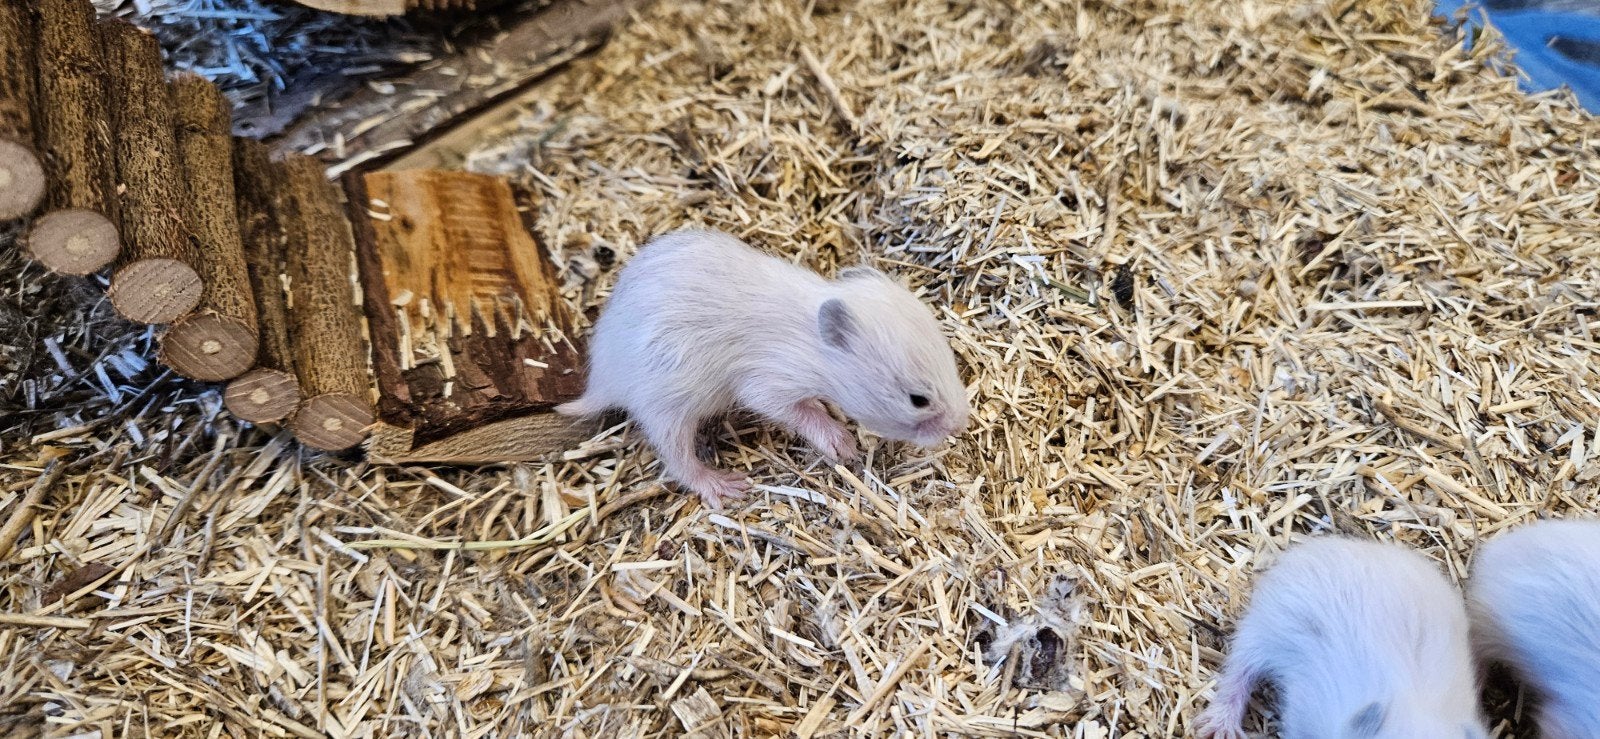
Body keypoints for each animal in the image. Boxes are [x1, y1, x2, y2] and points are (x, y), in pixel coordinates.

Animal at [559, 228, 969, 508]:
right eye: (918, 400)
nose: (959, 427)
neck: (814, 347)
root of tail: (601, 384)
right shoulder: (768, 385)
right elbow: (803, 413)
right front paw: (844, 446)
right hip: (665, 408)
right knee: (678, 459)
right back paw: (726, 486)